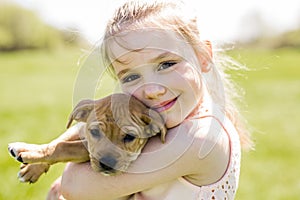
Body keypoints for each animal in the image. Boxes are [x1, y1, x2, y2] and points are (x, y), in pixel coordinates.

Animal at [8, 93, 166, 183]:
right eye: (95, 132)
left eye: (130, 136)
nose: (107, 164)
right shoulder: (80, 129)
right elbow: (58, 141)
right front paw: (32, 166)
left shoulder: (85, 149)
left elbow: (62, 147)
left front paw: (28, 155)